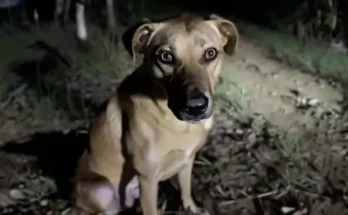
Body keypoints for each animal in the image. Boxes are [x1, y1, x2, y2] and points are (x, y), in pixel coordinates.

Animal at [66, 12, 238, 215]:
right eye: (166, 56)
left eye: (211, 53)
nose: (196, 107)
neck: (178, 125)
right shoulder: (147, 178)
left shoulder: (187, 162)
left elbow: (186, 190)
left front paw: (192, 208)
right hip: (101, 188)